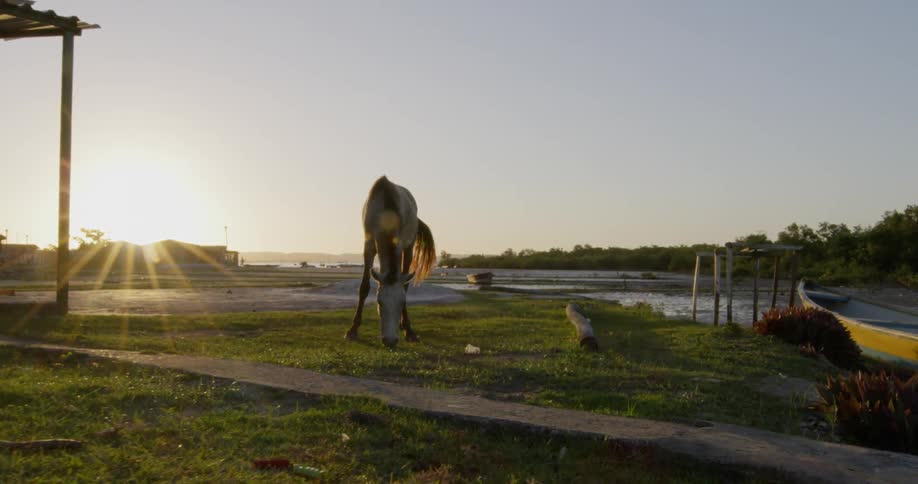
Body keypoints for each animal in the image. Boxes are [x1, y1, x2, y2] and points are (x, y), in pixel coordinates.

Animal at [346, 176, 436, 348]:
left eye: (401, 303)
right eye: (379, 303)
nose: (390, 341)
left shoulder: (402, 245)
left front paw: (409, 330)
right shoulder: (368, 245)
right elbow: (364, 287)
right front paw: (353, 329)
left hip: (409, 247)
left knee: (405, 283)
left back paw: (404, 326)